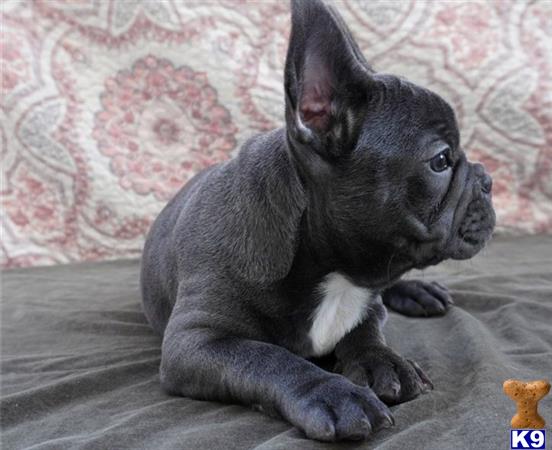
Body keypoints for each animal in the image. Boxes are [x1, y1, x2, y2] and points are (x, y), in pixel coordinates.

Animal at [141, 0, 496, 442]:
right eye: (441, 160)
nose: (488, 180)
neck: (332, 267)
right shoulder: (195, 341)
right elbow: (265, 357)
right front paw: (333, 394)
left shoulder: (368, 299)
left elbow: (366, 329)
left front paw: (384, 360)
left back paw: (417, 290)